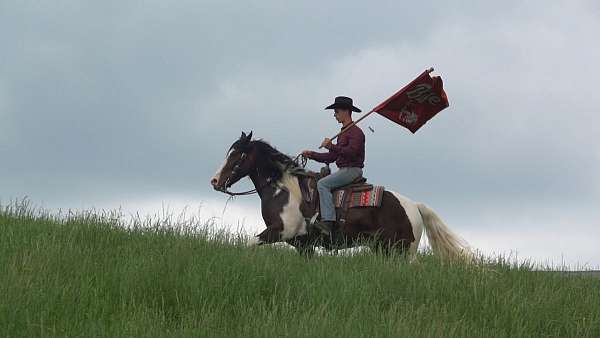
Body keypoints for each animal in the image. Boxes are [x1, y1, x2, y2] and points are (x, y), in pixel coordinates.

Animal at [210, 132, 468, 258]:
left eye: (238, 155)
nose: (215, 181)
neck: (283, 190)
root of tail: (414, 206)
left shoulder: (280, 231)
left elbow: (249, 244)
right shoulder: (303, 245)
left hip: (403, 251)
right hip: (383, 249)